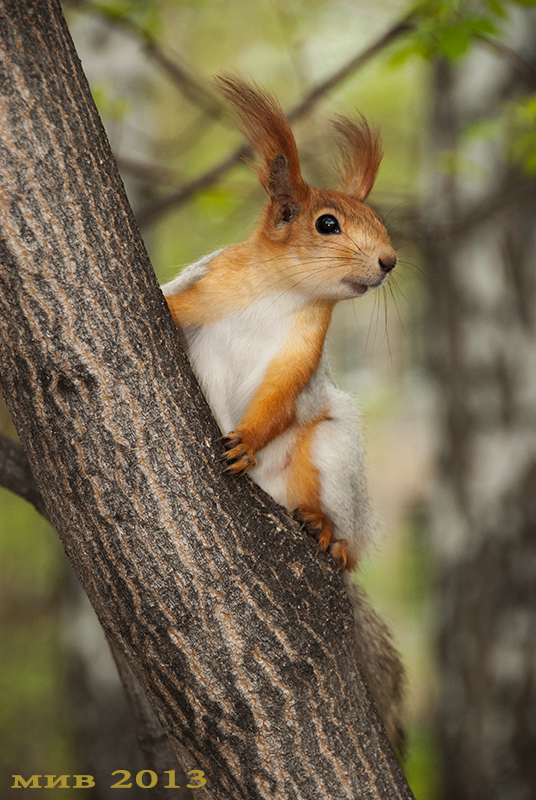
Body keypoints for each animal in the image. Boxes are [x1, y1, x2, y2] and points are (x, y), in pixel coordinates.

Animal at [161, 75, 404, 752]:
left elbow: (277, 401)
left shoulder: (302, 354)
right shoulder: (199, 289)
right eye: (327, 224)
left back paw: (325, 530)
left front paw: (245, 440)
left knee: (342, 527)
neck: (280, 291)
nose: (389, 262)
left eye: (380, 222)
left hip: (332, 451)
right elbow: (170, 304)